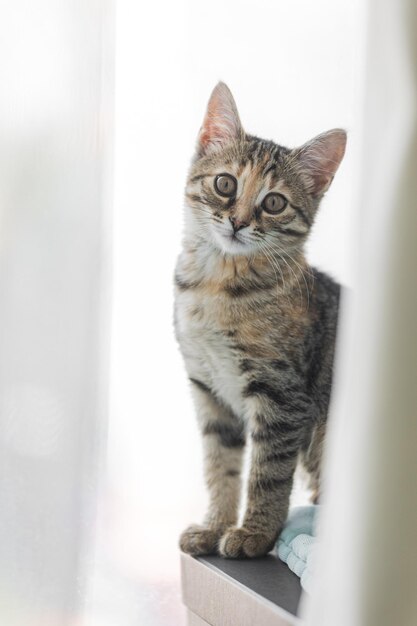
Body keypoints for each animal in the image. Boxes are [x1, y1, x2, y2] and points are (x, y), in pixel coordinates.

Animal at [175, 81, 344, 556]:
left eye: (273, 202)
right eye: (224, 183)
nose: (237, 221)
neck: (217, 287)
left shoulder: (282, 396)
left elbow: (268, 474)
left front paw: (255, 534)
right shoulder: (208, 390)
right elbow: (220, 467)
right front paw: (214, 526)